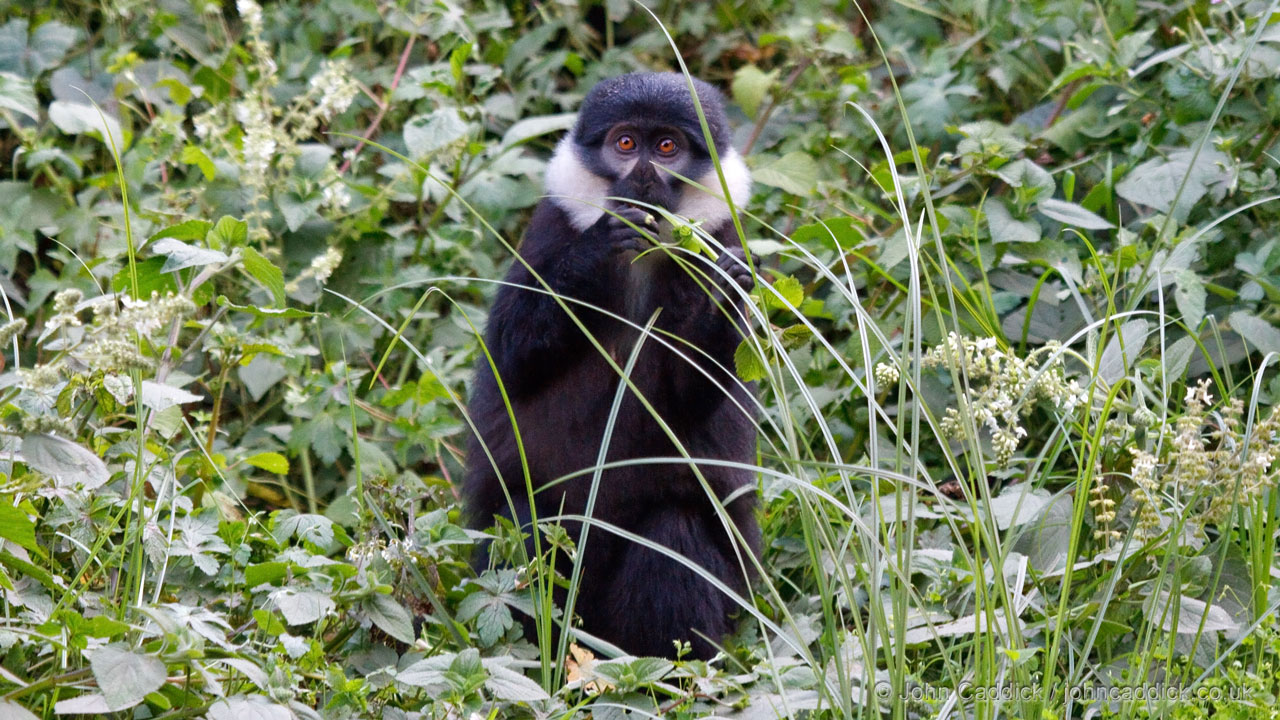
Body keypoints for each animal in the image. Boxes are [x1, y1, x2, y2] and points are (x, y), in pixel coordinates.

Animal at [462, 72, 759, 660]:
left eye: (666, 147)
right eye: (626, 144)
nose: (641, 174)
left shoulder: (721, 240)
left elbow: (691, 395)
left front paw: (722, 300)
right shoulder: (548, 230)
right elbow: (512, 357)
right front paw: (598, 250)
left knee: (673, 530)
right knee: (530, 524)